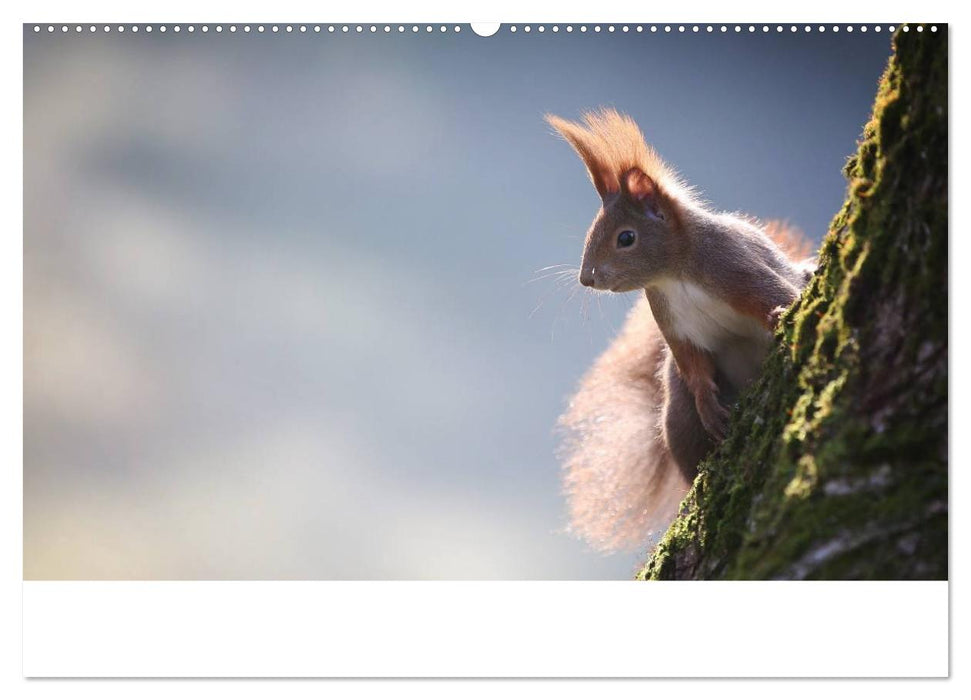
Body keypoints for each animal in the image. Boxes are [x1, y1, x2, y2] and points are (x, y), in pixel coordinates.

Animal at [548, 109, 812, 552]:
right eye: (590, 232)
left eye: (626, 238)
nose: (587, 278)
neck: (675, 275)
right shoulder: (675, 326)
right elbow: (694, 367)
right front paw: (708, 403)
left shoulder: (737, 270)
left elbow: (776, 295)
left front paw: (780, 315)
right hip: (678, 418)